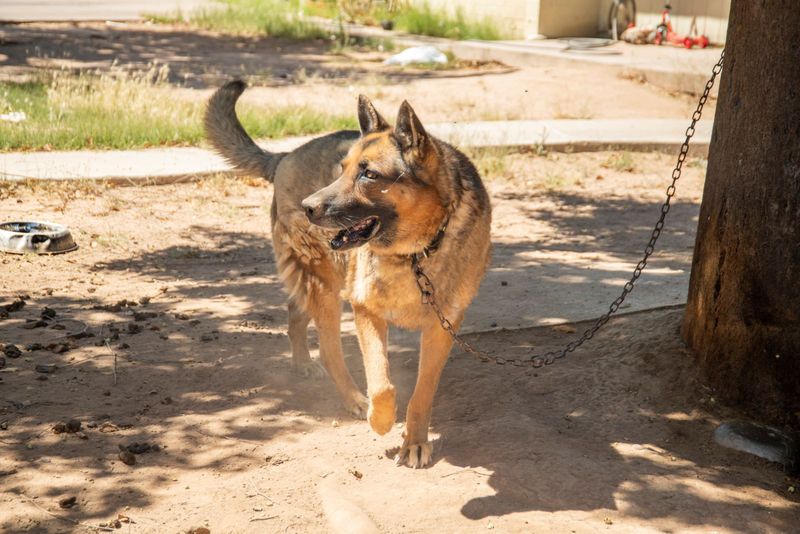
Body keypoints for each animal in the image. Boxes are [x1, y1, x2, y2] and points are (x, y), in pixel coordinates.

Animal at [203, 80, 490, 468]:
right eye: (342, 169)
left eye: (369, 174)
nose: (308, 208)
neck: (415, 254)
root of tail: (285, 156)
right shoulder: (365, 309)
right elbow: (382, 384)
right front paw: (380, 420)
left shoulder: (442, 327)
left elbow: (422, 392)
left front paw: (414, 441)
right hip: (325, 286)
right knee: (328, 349)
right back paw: (353, 398)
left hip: (318, 283)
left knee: (295, 312)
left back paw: (302, 362)